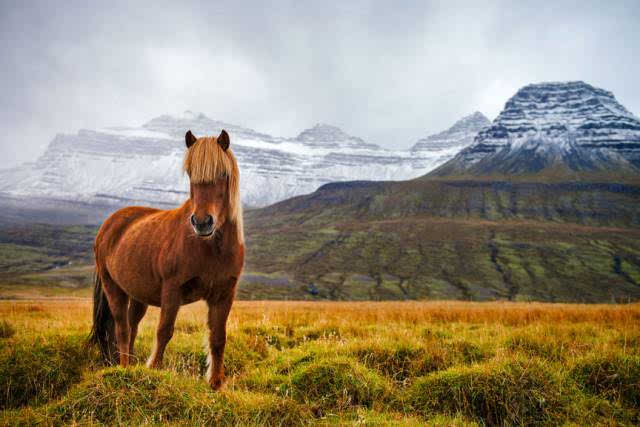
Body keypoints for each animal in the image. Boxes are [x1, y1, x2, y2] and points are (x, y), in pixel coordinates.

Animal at [87, 130, 242, 392]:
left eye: (223, 173)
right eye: (190, 174)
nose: (202, 222)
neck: (210, 248)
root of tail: (109, 224)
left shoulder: (224, 294)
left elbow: (218, 337)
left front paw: (215, 383)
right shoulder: (172, 289)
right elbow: (165, 331)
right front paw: (154, 370)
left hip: (138, 294)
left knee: (133, 326)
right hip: (113, 287)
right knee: (122, 328)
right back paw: (124, 368)